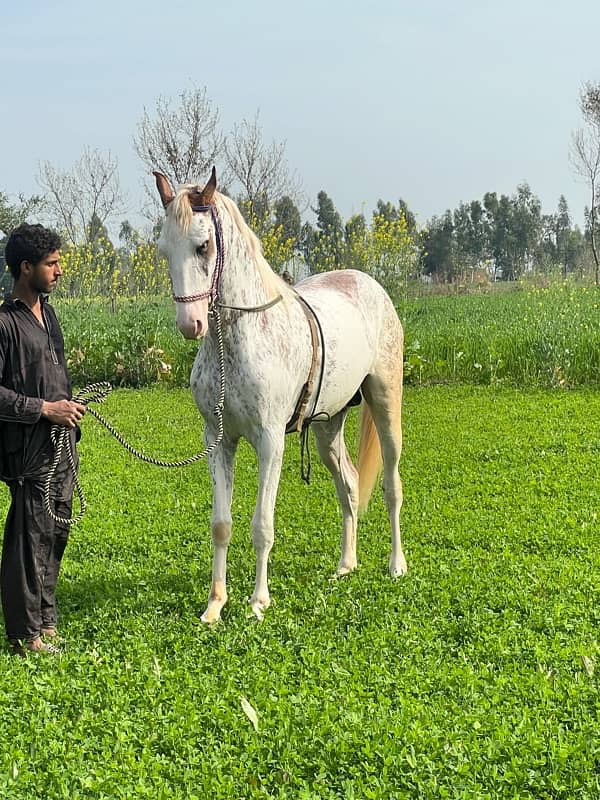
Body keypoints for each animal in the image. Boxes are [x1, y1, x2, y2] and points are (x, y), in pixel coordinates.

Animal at [155, 166, 408, 620]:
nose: (190, 324)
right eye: (164, 250)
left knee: (390, 485)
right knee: (348, 485)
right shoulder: (218, 440)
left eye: (204, 245)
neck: (237, 340)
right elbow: (221, 525)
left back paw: (396, 565)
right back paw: (346, 565)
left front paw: (258, 601)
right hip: (327, 429)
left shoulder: (270, 442)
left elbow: (262, 526)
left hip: (385, 403)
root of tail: (370, 284)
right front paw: (215, 605)